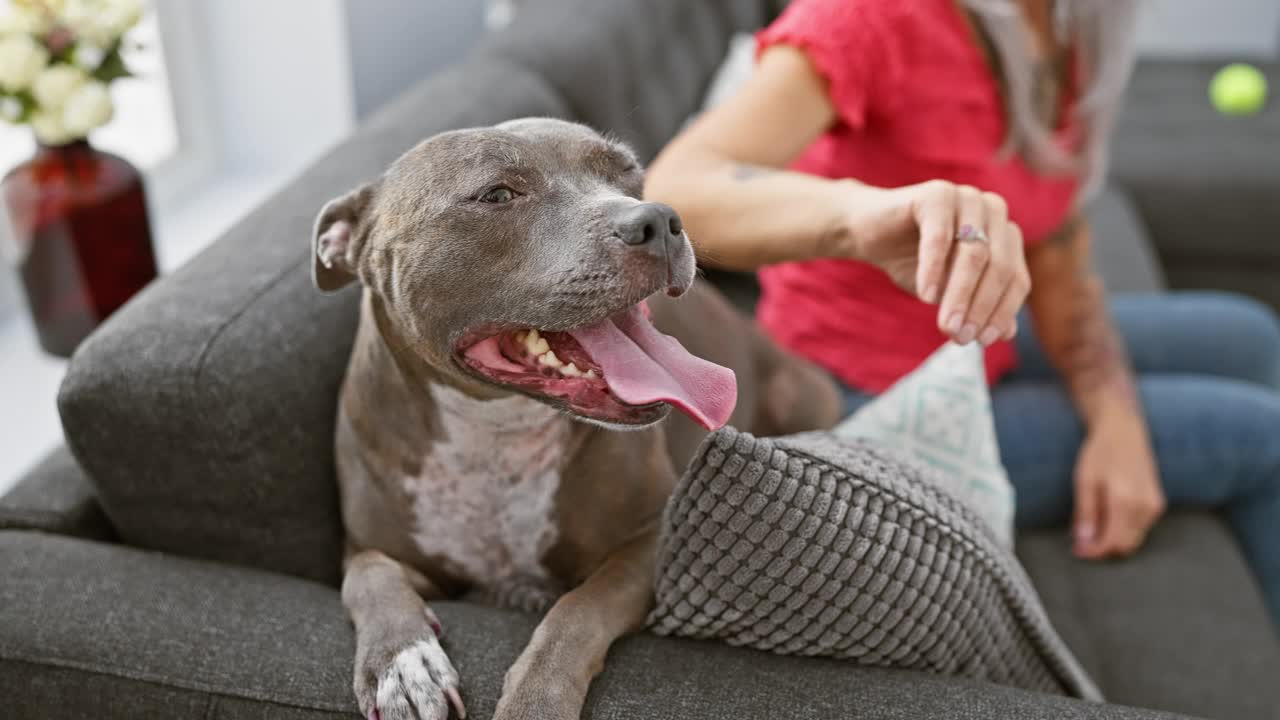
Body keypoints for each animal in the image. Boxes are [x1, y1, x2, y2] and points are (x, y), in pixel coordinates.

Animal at [312, 119, 839, 717]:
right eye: (498, 195)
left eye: (627, 173)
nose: (659, 220)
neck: (495, 432)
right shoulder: (366, 548)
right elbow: (369, 578)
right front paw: (401, 664)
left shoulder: (651, 541)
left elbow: (576, 611)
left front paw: (536, 698)